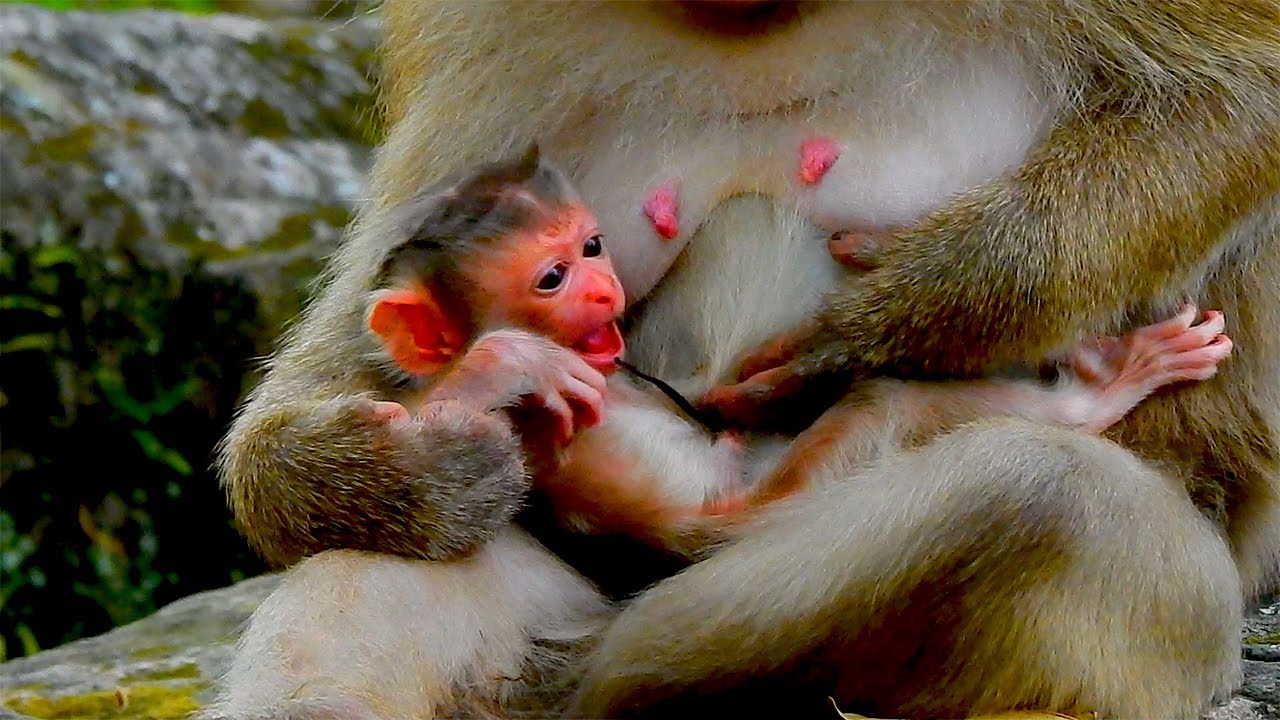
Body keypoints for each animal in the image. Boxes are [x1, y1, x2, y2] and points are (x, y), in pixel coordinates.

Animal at [211, 2, 1279, 719]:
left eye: (590, 253)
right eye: (554, 272)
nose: (597, 297)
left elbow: (1239, 95)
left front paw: (908, 308)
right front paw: (375, 471)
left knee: (1044, 496)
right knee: (363, 582)